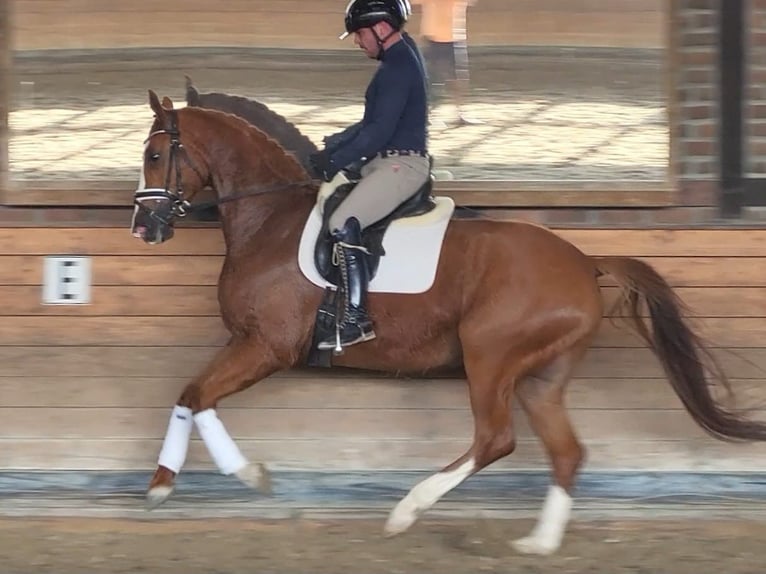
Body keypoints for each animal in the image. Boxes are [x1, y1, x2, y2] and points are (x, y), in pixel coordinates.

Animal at [132, 90, 766, 560]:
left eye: (156, 155)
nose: (144, 227)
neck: (272, 219)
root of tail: (584, 262)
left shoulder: (267, 346)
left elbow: (197, 395)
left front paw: (237, 477)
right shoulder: (246, 345)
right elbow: (191, 396)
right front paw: (168, 483)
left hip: (490, 355)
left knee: (496, 439)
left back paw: (406, 510)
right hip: (540, 376)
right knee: (565, 452)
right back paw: (538, 544)